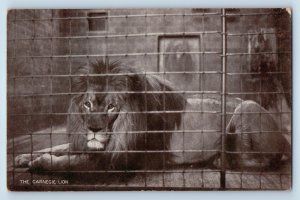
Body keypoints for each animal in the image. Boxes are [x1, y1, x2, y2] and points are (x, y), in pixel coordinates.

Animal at [15, 59, 290, 172]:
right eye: (88, 104)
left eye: (112, 107)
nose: (93, 130)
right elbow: (62, 147)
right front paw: (25, 156)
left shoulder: (127, 158)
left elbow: (75, 161)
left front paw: (42, 163)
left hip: (247, 107)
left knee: (264, 160)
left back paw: (221, 160)